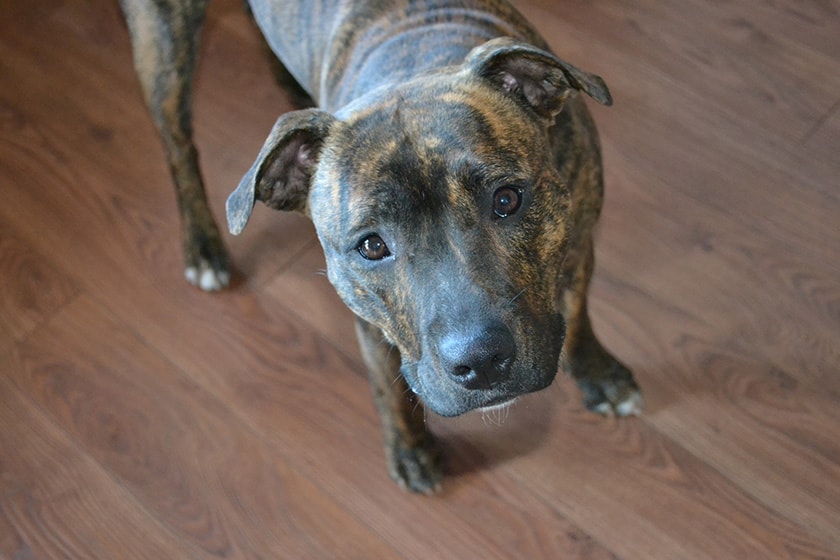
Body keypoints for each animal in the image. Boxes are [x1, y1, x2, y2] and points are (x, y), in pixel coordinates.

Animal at [120, 0, 644, 492]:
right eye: (372, 246)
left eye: (507, 199)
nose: (480, 361)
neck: (412, 57)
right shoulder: (368, 317)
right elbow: (384, 381)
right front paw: (409, 447)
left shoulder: (578, 241)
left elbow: (577, 313)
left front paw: (599, 375)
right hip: (163, 42)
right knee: (177, 143)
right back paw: (203, 247)